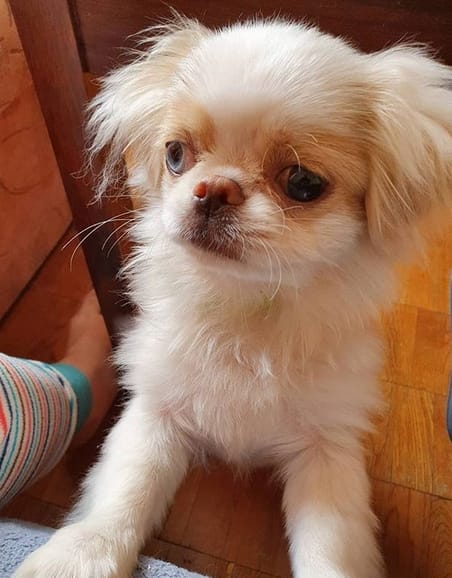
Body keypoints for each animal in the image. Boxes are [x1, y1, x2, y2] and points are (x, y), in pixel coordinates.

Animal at [14, 17, 452, 578]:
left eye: (303, 183)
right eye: (176, 154)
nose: (214, 188)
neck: (243, 309)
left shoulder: (326, 446)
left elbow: (331, 547)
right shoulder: (156, 412)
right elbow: (122, 496)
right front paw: (76, 556)